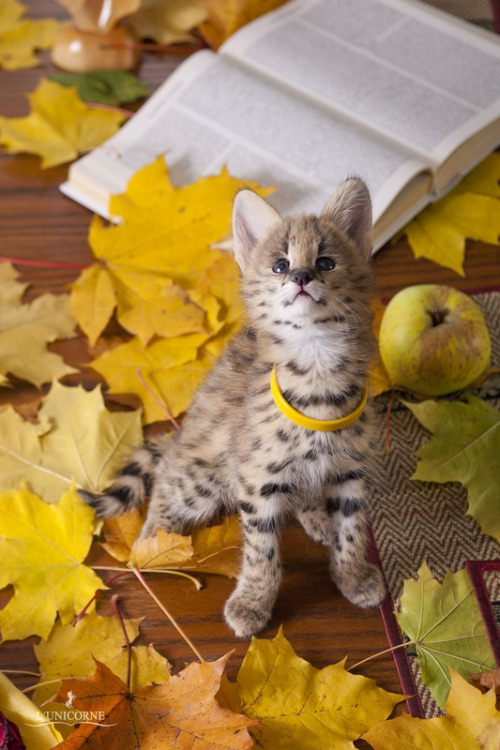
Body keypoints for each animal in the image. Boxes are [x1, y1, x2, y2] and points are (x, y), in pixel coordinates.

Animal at [83, 179, 386, 636]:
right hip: (204, 475)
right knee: (167, 474)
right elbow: (262, 552)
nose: (301, 276)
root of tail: (184, 434)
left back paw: (316, 516)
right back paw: (155, 543)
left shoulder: (350, 471)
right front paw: (252, 603)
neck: (316, 362)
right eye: (280, 266)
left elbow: (351, 530)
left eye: (326, 262)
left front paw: (352, 575)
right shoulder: (258, 481)